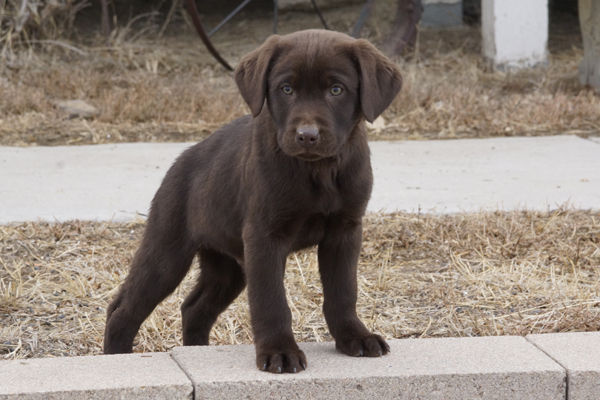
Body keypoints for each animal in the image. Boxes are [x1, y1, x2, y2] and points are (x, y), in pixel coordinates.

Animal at [104, 29, 404, 374]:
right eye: (286, 89)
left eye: (336, 89)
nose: (307, 136)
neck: (318, 171)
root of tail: (183, 159)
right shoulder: (264, 237)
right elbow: (270, 300)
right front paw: (279, 351)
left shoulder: (345, 230)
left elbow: (343, 291)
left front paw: (354, 337)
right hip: (167, 251)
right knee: (123, 310)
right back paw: (116, 358)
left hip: (228, 266)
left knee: (195, 308)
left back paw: (196, 350)